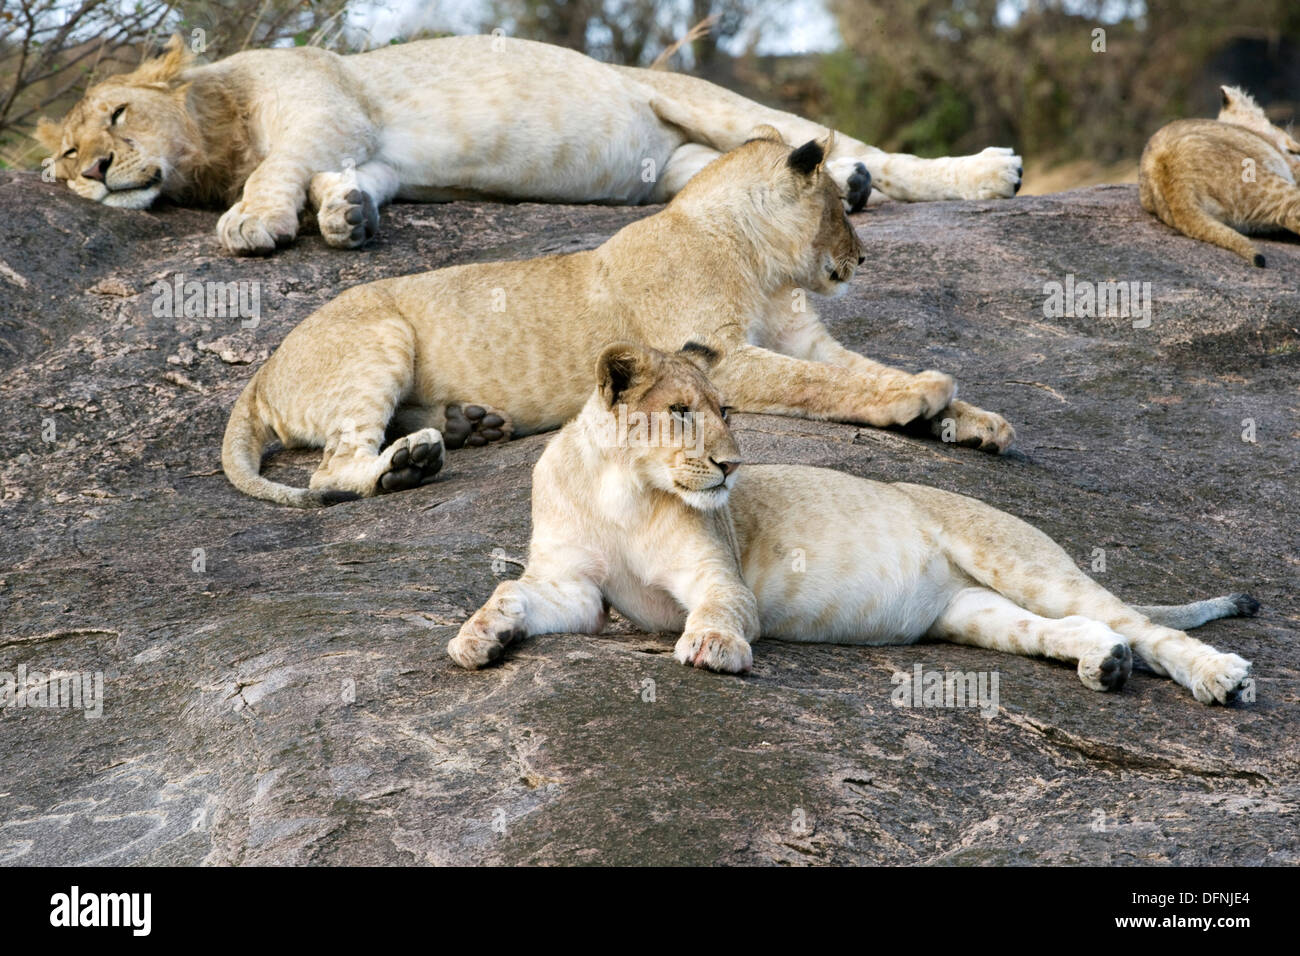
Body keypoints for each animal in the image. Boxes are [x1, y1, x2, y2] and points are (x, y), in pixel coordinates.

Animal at [221, 130, 1015, 507]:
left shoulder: (807, 340)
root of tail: (263, 367)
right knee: (332, 471)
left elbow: (858, 370)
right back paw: (411, 463)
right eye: (844, 204)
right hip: (379, 337)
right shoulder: (713, 357)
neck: (758, 265)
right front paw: (920, 397)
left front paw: (976, 421)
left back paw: (470, 424)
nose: (863, 256)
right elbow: (823, 385)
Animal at [449, 343, 1257, 706]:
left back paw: (1221, 676)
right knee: (1077, 630)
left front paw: (711, 646)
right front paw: (477, 638)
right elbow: (512, 593)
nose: (732, 465)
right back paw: (1105, 664)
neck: (623, 487)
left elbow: (719, 608)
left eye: (726, 410)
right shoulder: (577, 591)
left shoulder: (718, 573)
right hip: (973, 613)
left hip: (1020, 561)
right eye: (679, 412)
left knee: (1142, 627)